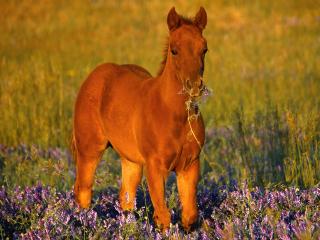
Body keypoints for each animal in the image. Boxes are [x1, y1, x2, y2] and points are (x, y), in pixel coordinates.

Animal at [71, 6, 209, 230]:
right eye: (174, 50)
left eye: (204, 49)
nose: (194, 86)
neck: (173, 116)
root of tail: (94, 76)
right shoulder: (155, 167)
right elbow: (163, 216)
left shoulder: (189, 165)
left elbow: (189, 215)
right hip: (89, 149)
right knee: (83, 190)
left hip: (131, 160)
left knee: (125, 198)